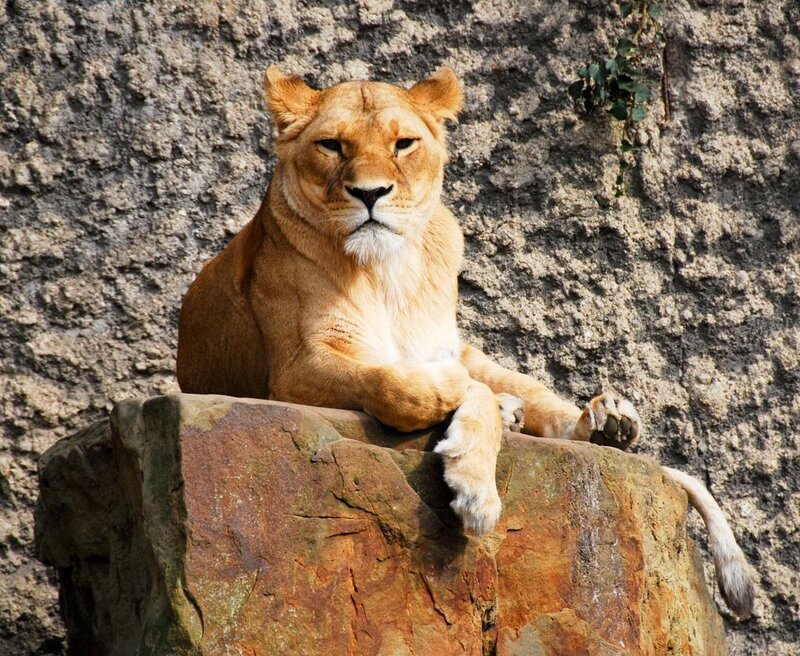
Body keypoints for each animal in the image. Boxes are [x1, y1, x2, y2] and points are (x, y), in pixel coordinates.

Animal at [176, 66, 754, 617]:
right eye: (332, 146)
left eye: (403, 144)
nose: (370, 194)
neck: (388, 268)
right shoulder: (296, 368)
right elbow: (404, 385)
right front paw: (482, 453)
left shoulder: (444, 346)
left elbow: (468, 391)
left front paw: (481, 471)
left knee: (548, 403)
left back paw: (606, 420)